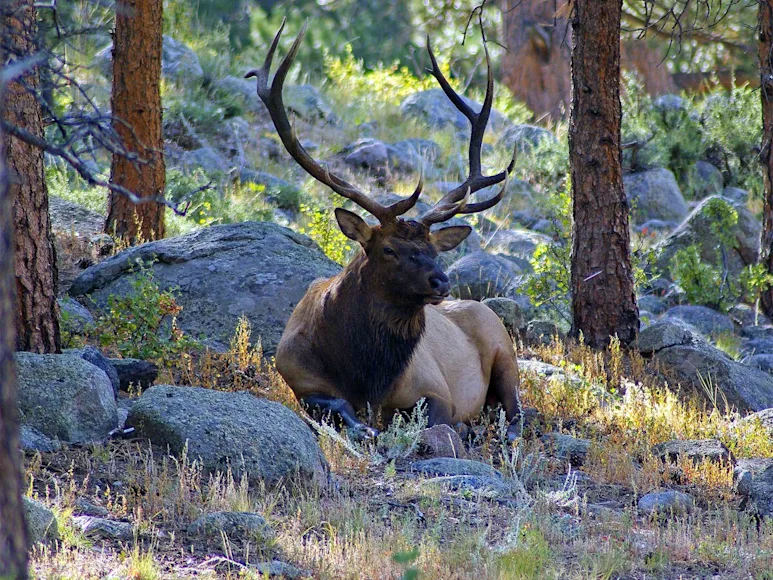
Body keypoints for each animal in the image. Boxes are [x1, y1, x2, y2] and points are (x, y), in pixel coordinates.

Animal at [246, 20, 522, 440]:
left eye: (435, 251)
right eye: (389, 249)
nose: (441, 281)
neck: (366, 378)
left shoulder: (435, 388)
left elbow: (433, 420)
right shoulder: (297, 377)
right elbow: (335, 405)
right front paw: (365, 428)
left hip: (505, 349)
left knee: (519, 410)